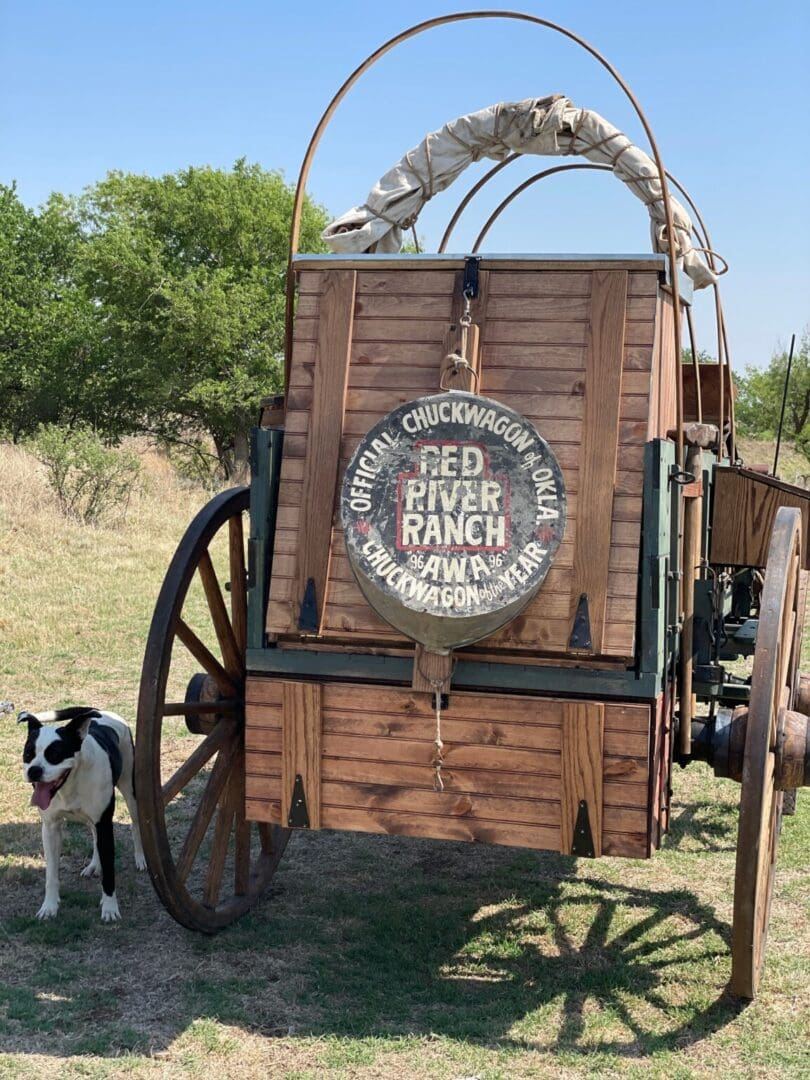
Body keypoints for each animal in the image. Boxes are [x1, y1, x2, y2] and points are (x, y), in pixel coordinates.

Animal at [19, 708, 147, 920]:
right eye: (28, 753)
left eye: (55, 754)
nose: (34, 770)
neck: (71, 782)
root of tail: (100, 711)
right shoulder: (51, 828)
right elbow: (51, 874)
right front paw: (49, 906)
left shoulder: (105, 825)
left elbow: (110, 874)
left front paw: (110, 908)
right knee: (94, 836)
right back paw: (95, 865)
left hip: (130, 790)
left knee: (136, 825)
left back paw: (140, 858)